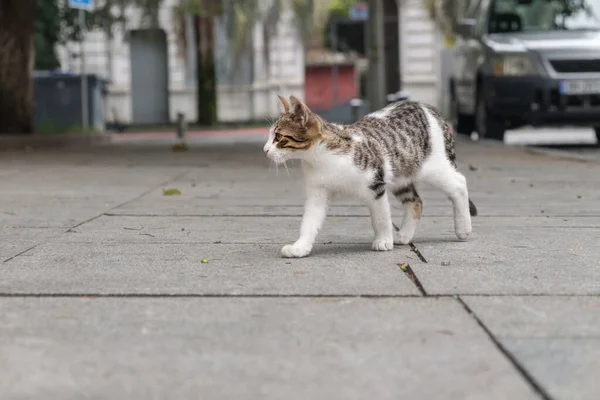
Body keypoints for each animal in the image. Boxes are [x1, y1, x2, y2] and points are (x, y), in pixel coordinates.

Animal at [264, 96, 478, 260]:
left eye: (278, 137)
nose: (265, 150)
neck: (319, 159)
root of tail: (427, 107)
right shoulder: (318, 193)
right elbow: (309, 222)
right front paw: (300, 247)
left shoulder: (376, 184)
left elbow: (381, 217)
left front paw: (383, 240)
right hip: (401, 175)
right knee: (415, 202)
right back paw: (404, 235)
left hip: (431, 168)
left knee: (459, 183)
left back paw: (463, 227)